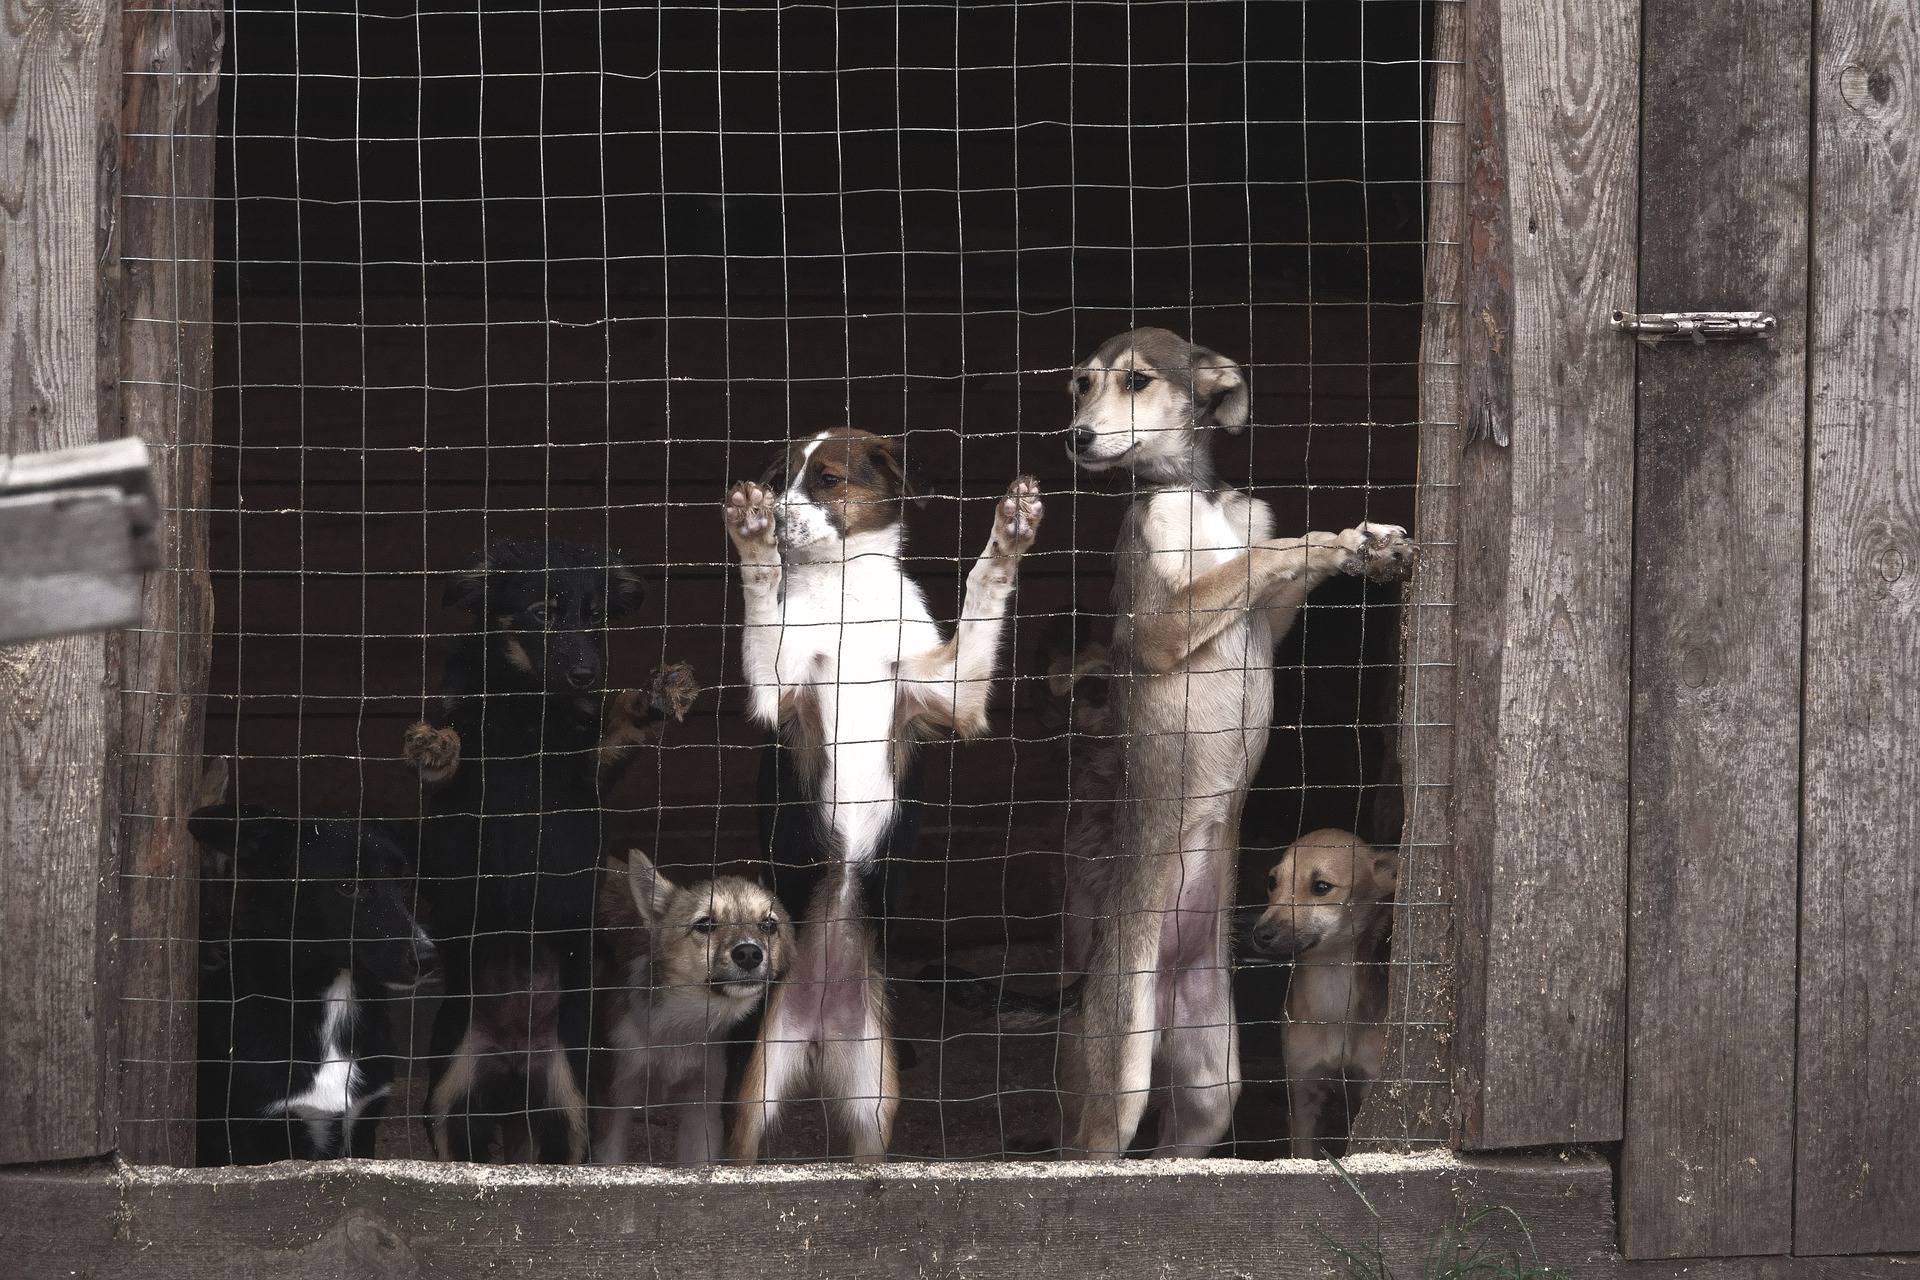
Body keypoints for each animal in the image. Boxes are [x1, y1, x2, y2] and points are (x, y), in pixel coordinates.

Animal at [192, 805, 435, 1166]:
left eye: (405, 882)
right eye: (349, 886)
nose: (428, 957)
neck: (335, 999)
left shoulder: (362, 1124)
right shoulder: (261, 1131)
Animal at [401, 537, 656, 1166]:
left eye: (596, 615)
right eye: (543, 612)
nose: (587, 674)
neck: (526, 704)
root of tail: (514, 1058)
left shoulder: (584, 775)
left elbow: (612, 740)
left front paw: (639, 710)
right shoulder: (456, 795)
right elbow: (449, 765)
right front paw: (437, 748)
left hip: (566, 1098)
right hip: (450, 1093)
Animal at [721, 429, 1052, 1159]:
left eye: (827, 478)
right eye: (779, 479)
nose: (776, 516)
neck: (846, 589)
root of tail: (817, 1026)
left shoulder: (952, 696)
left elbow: (983, 591)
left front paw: (1008, 534)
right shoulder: (778, 694)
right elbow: (762, 596)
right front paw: (753, 540)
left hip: (875, 1095)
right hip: (751, 1095)